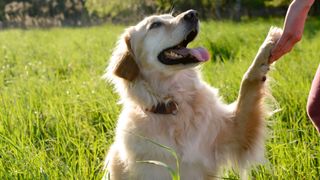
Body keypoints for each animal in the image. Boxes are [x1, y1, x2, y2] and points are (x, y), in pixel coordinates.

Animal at [104, 9, 282, 179]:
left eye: (171, 16)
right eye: (155, 25)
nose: (192, 14)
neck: (175, 106)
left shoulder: (236, 133)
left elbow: (247, 84)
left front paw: (268, 45)